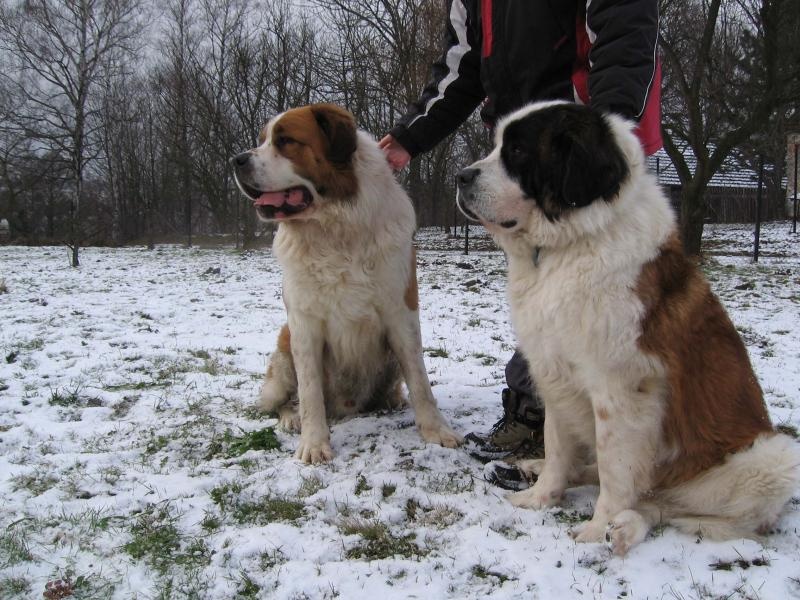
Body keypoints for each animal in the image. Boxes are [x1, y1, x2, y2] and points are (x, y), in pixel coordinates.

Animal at [230, 105, 462, 464]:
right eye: (263, 140)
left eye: (285, 141)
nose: (237, 160)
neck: (334, 228)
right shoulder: (303, 323)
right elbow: (310, 391)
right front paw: (314, 443)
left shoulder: (401, 312)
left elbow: (420, 380)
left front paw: (436, 430)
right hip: (284, 344)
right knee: (285, 399)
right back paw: (291, 417)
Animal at [456, 101, 800, 556]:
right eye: (497, 145)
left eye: (517, 151)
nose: (460, 177)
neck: (570, 244)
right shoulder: (553, 372)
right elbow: (559, 443)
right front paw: (541, 495)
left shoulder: (620, 388)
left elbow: (616, 468)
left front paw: (597, 525)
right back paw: (536, 467)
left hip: (774, 457)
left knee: (661, 507)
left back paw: (623, 527)